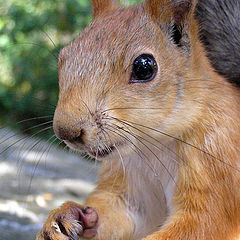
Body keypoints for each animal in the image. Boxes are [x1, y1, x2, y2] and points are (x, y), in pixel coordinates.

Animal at [35, 0, 240, 240]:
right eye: (63, 58)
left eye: (144, 67)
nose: (66, 131)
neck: (154, 146)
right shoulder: (129, 185)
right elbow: (120, 212)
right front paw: (65, 217)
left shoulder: (217, 167)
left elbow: (204, 222)